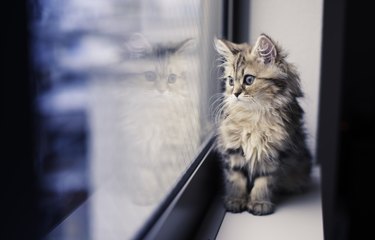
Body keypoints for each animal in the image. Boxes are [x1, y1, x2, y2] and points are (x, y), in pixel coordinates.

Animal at [213, 33, 312, 216]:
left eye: (248, 80)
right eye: (231, 81)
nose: (235, 93)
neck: (254, 117)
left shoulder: (274, 152)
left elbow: (264, 182)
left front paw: (259, 203)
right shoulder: (233, 150)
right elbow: (236, 180)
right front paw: (235, 201)